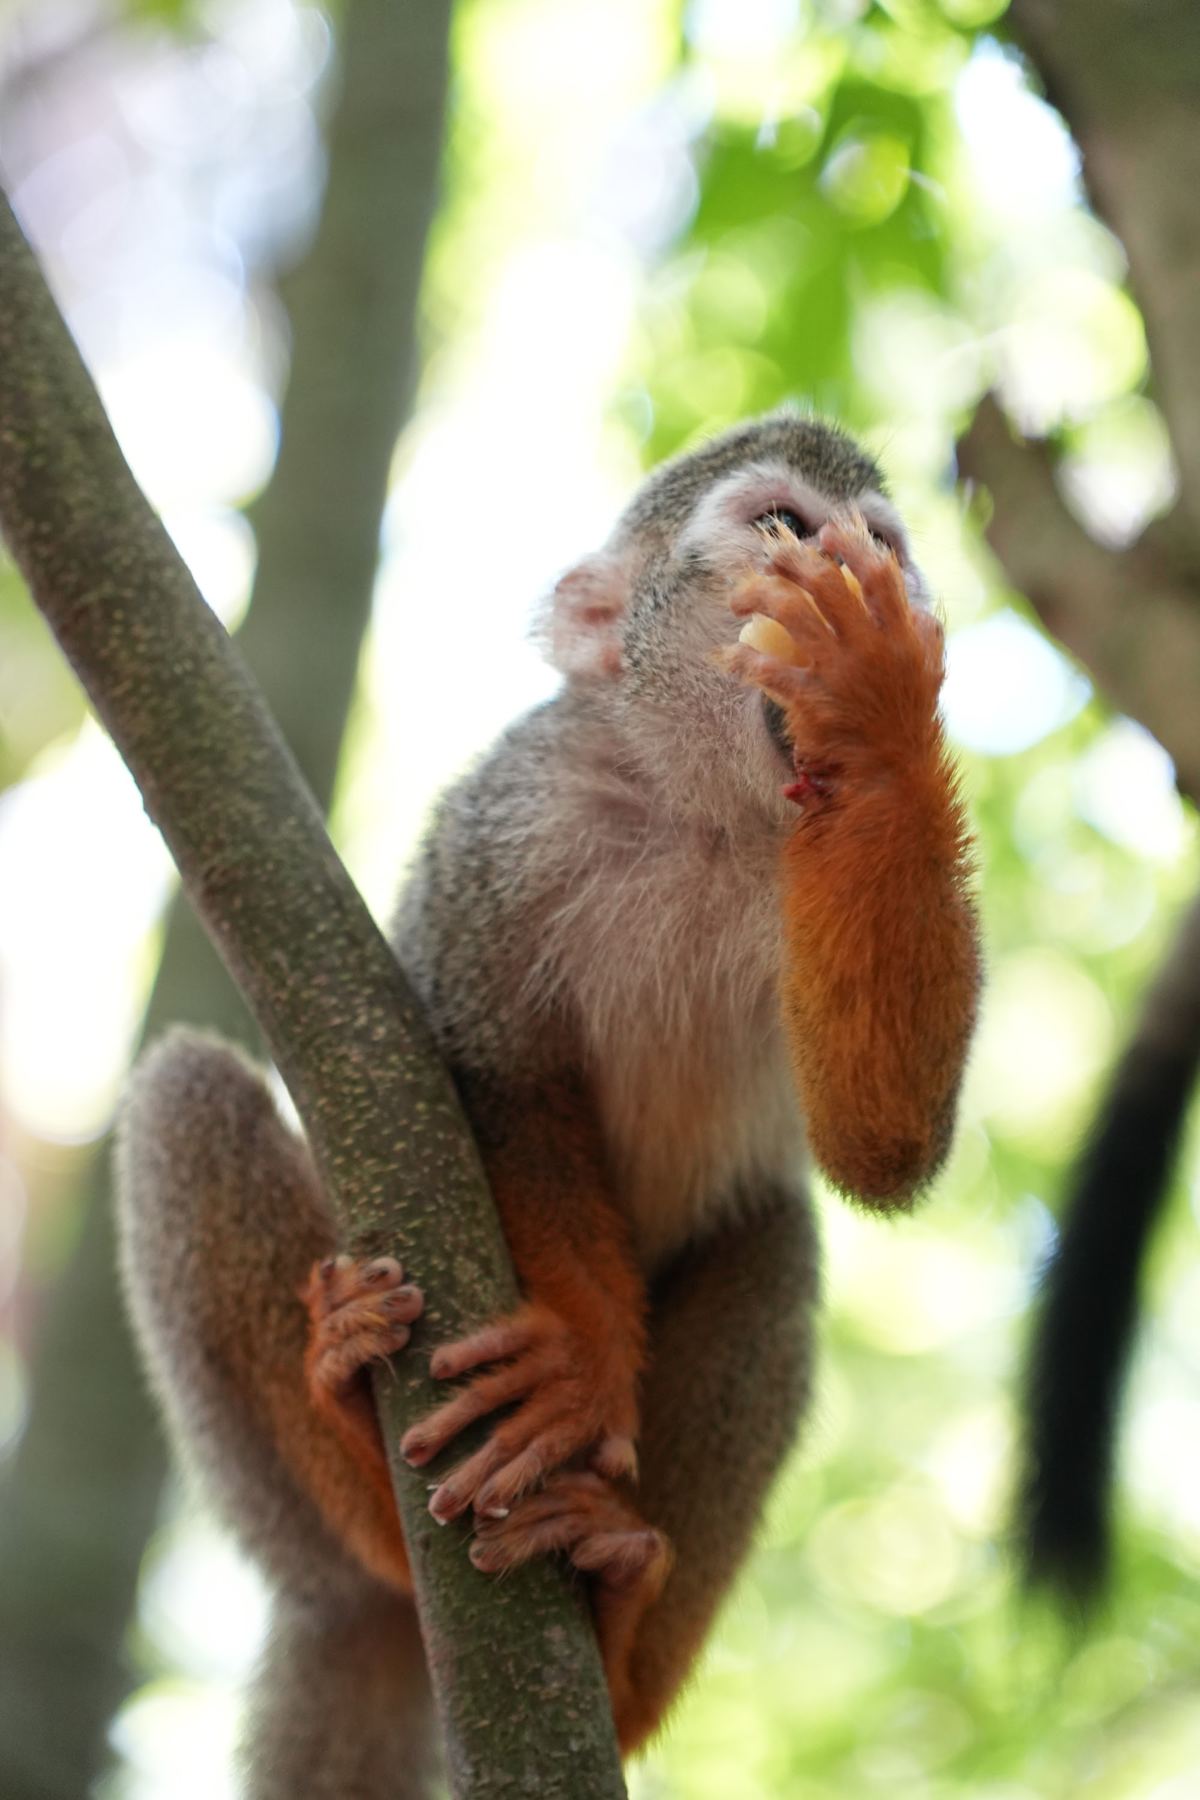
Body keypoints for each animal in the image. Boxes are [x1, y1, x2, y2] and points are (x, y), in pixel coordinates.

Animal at [116, 411, 980, 1795]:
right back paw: (358, 1449)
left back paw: (618, 1642)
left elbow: (882, 1142)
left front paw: (880, 712)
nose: (871, 572)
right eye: (785, 526)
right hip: (293, 1540)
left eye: (885, 542)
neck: (708, 815)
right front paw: (574, 1363)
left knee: (777, 1242)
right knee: (188, 1098)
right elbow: (496, 1080)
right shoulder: (514, 813)